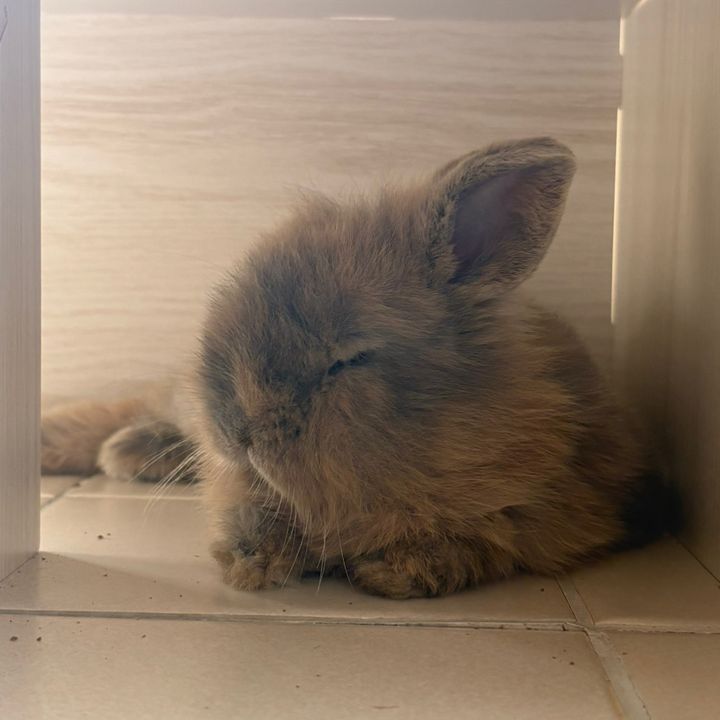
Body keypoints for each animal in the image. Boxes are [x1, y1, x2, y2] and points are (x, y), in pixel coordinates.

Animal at [42, 137, 678, 598]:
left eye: (350, 358)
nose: (237, 431)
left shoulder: (542, 513)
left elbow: (479, 545)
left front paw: (392, 574)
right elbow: (249, 507)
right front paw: (251, 560)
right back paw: (81, 444)